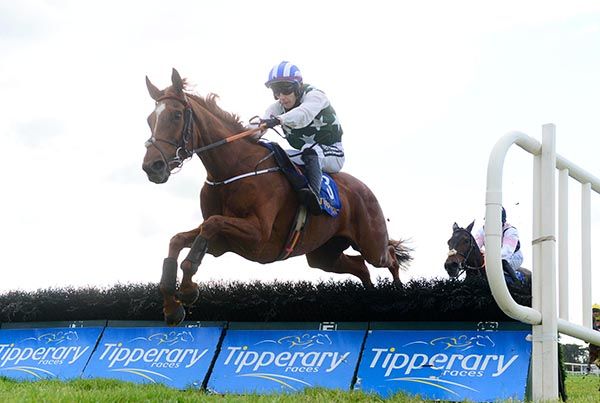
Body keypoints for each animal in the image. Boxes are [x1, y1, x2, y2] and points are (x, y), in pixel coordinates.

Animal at [143, 68, 410, 326]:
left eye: (176, 115)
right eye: (149, 119)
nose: (152, 167)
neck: (233, 169)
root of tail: (366, 190)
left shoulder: (258, 235)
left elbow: (210, 225)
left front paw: (187, 291)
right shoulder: (222, 244)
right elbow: (177, 240)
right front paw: (172, 306)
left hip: (372, 244)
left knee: (390, 257)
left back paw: (399, 294)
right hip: (324, 254)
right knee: (361, 267)